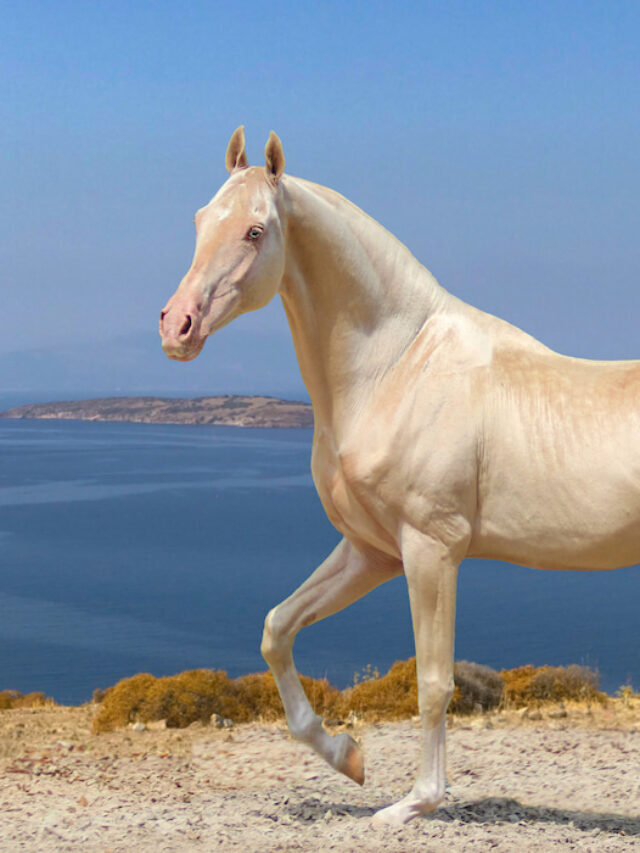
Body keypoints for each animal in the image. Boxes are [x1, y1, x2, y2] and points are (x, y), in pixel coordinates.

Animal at [159, 127, 640, 825]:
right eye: (199, 220)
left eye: (254, 230)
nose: (178, 327)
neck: (396, 368)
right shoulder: (372, 551)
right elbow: (278, 630)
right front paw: (347, 758)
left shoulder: (430, 551)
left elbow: (433, 681)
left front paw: (415, 804)